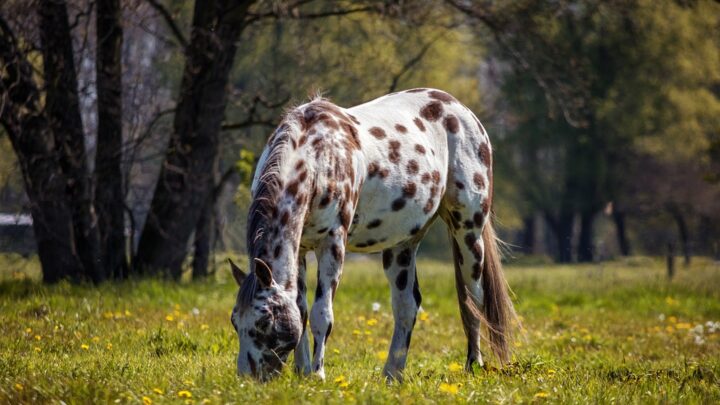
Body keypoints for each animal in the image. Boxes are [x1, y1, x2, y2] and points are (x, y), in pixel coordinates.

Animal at [228, 87, 516, 380]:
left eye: (264, 321)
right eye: (234, 320)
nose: (247, 378)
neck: (318, 157)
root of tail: (461, 110)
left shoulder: (332, 244)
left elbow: (322, 314)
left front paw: (317, 375)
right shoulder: (300, 250)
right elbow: (301, 310)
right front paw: (302, 372)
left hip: (468, 232)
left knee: (473, 299)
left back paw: (473, 365)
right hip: (402, 245)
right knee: (407, 306)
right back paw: (392, 374)